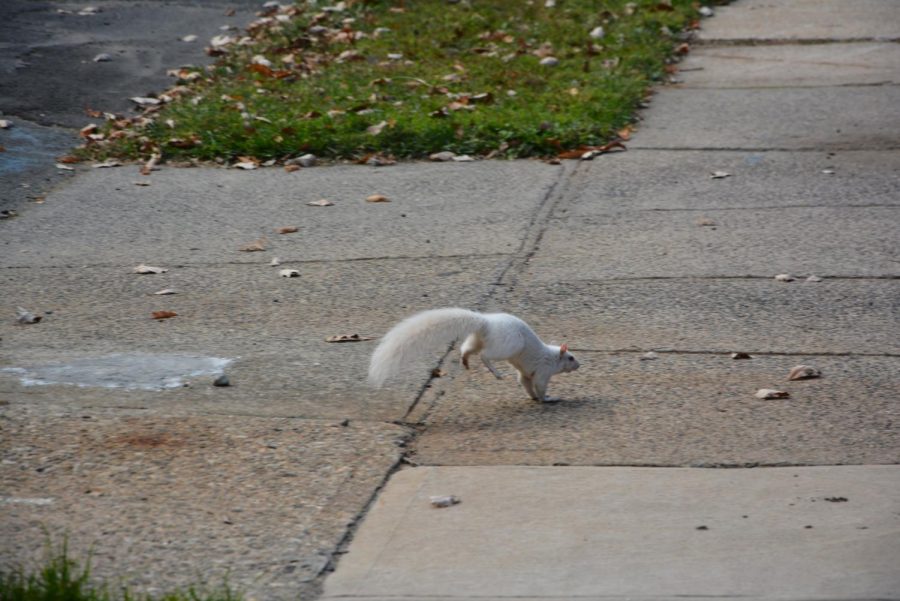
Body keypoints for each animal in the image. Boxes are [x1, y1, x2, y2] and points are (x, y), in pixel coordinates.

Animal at [368, 308, 584, 400]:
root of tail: (486, 323)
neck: (552, 357)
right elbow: (540, 387)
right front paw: (547, 399)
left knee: (466, 349)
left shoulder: (526, 374)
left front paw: (533, 398)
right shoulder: (542, 371)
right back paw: (496, 373)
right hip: (506, 346)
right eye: (571, 357)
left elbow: (526, 384)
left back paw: (465, 361)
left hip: (476, 340)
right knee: (485, 355)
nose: (579, 365)